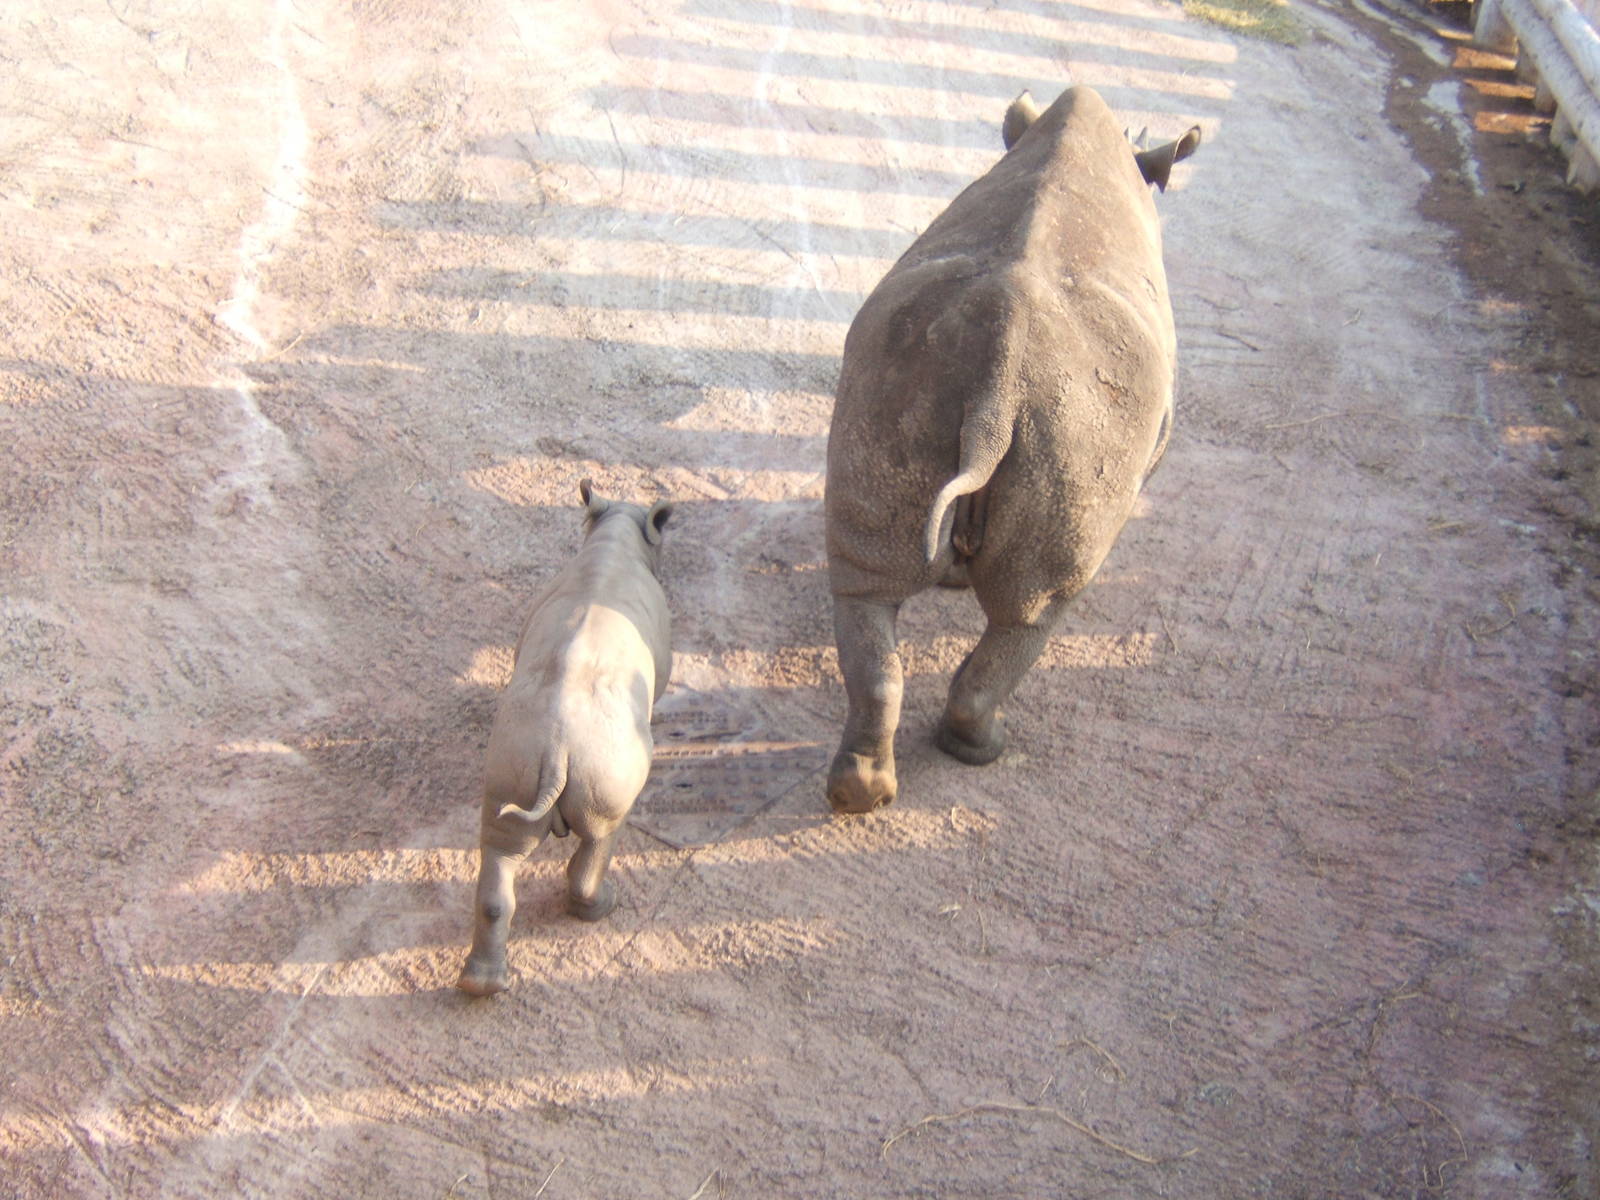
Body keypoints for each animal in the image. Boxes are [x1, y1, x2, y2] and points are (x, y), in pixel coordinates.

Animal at [458, 480, 673, 996]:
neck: (617, 533)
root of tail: (557, 750)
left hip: (516, 757)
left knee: (501, 846)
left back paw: (481, 986)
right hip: (605, 763)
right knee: (603, 831)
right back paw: (601, 908)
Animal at [824, 86, 1200, 813]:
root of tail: (997, 387)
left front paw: (950, 570)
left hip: (902, 380)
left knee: (865, 585)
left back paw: (862, 791)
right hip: (1079, 427)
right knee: (1038, 607)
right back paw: (982, 749)